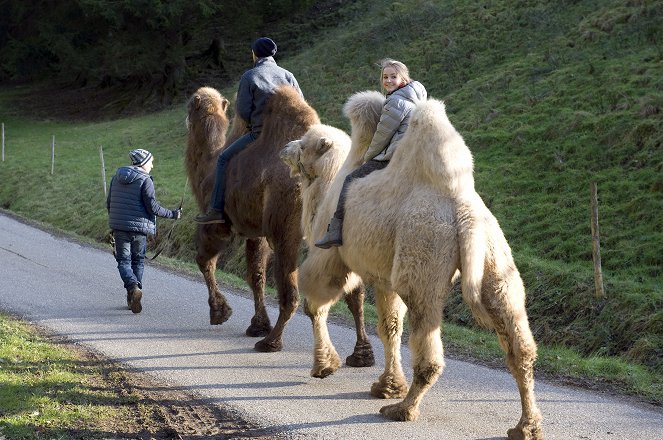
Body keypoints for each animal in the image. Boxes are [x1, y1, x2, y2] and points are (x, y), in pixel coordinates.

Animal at [184, 86, 376, 364]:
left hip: (287, 231)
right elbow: (256, 275)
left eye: (190, 105)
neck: (210, 164)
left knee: (291, 292)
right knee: (355, 293)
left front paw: (220, 312)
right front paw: (257, 324)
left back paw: (271, 342)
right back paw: (362, 355)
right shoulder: (256, 232)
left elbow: (205, 260)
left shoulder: (218, 222)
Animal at [280, 91, 544, 438]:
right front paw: (387, 386)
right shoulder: (385, 278)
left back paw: (402, 410)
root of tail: (464, 212)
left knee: (427, 336)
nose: (285, 149)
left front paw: (325, 366)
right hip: (496, 263)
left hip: (423, 256)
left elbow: (316, 303)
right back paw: (526, 426)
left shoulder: (330, 253)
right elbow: (390, 327)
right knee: (518, 343)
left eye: (305, 144)